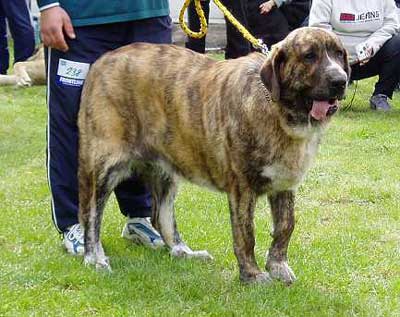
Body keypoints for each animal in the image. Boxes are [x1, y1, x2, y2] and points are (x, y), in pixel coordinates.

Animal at [79, 27, 350, 282]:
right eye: (309, 56)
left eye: (339, 54)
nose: (341, 80)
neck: (279, 111)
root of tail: (103, 60)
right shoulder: (242, 188)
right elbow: (246, 233)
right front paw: (252, 275)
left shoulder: (284, 184)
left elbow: (285, 226)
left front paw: (277, 267)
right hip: (104, 167)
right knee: (91, 215)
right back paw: (95, 258)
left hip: (165, 170)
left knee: (160, 216)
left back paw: (183, 252)